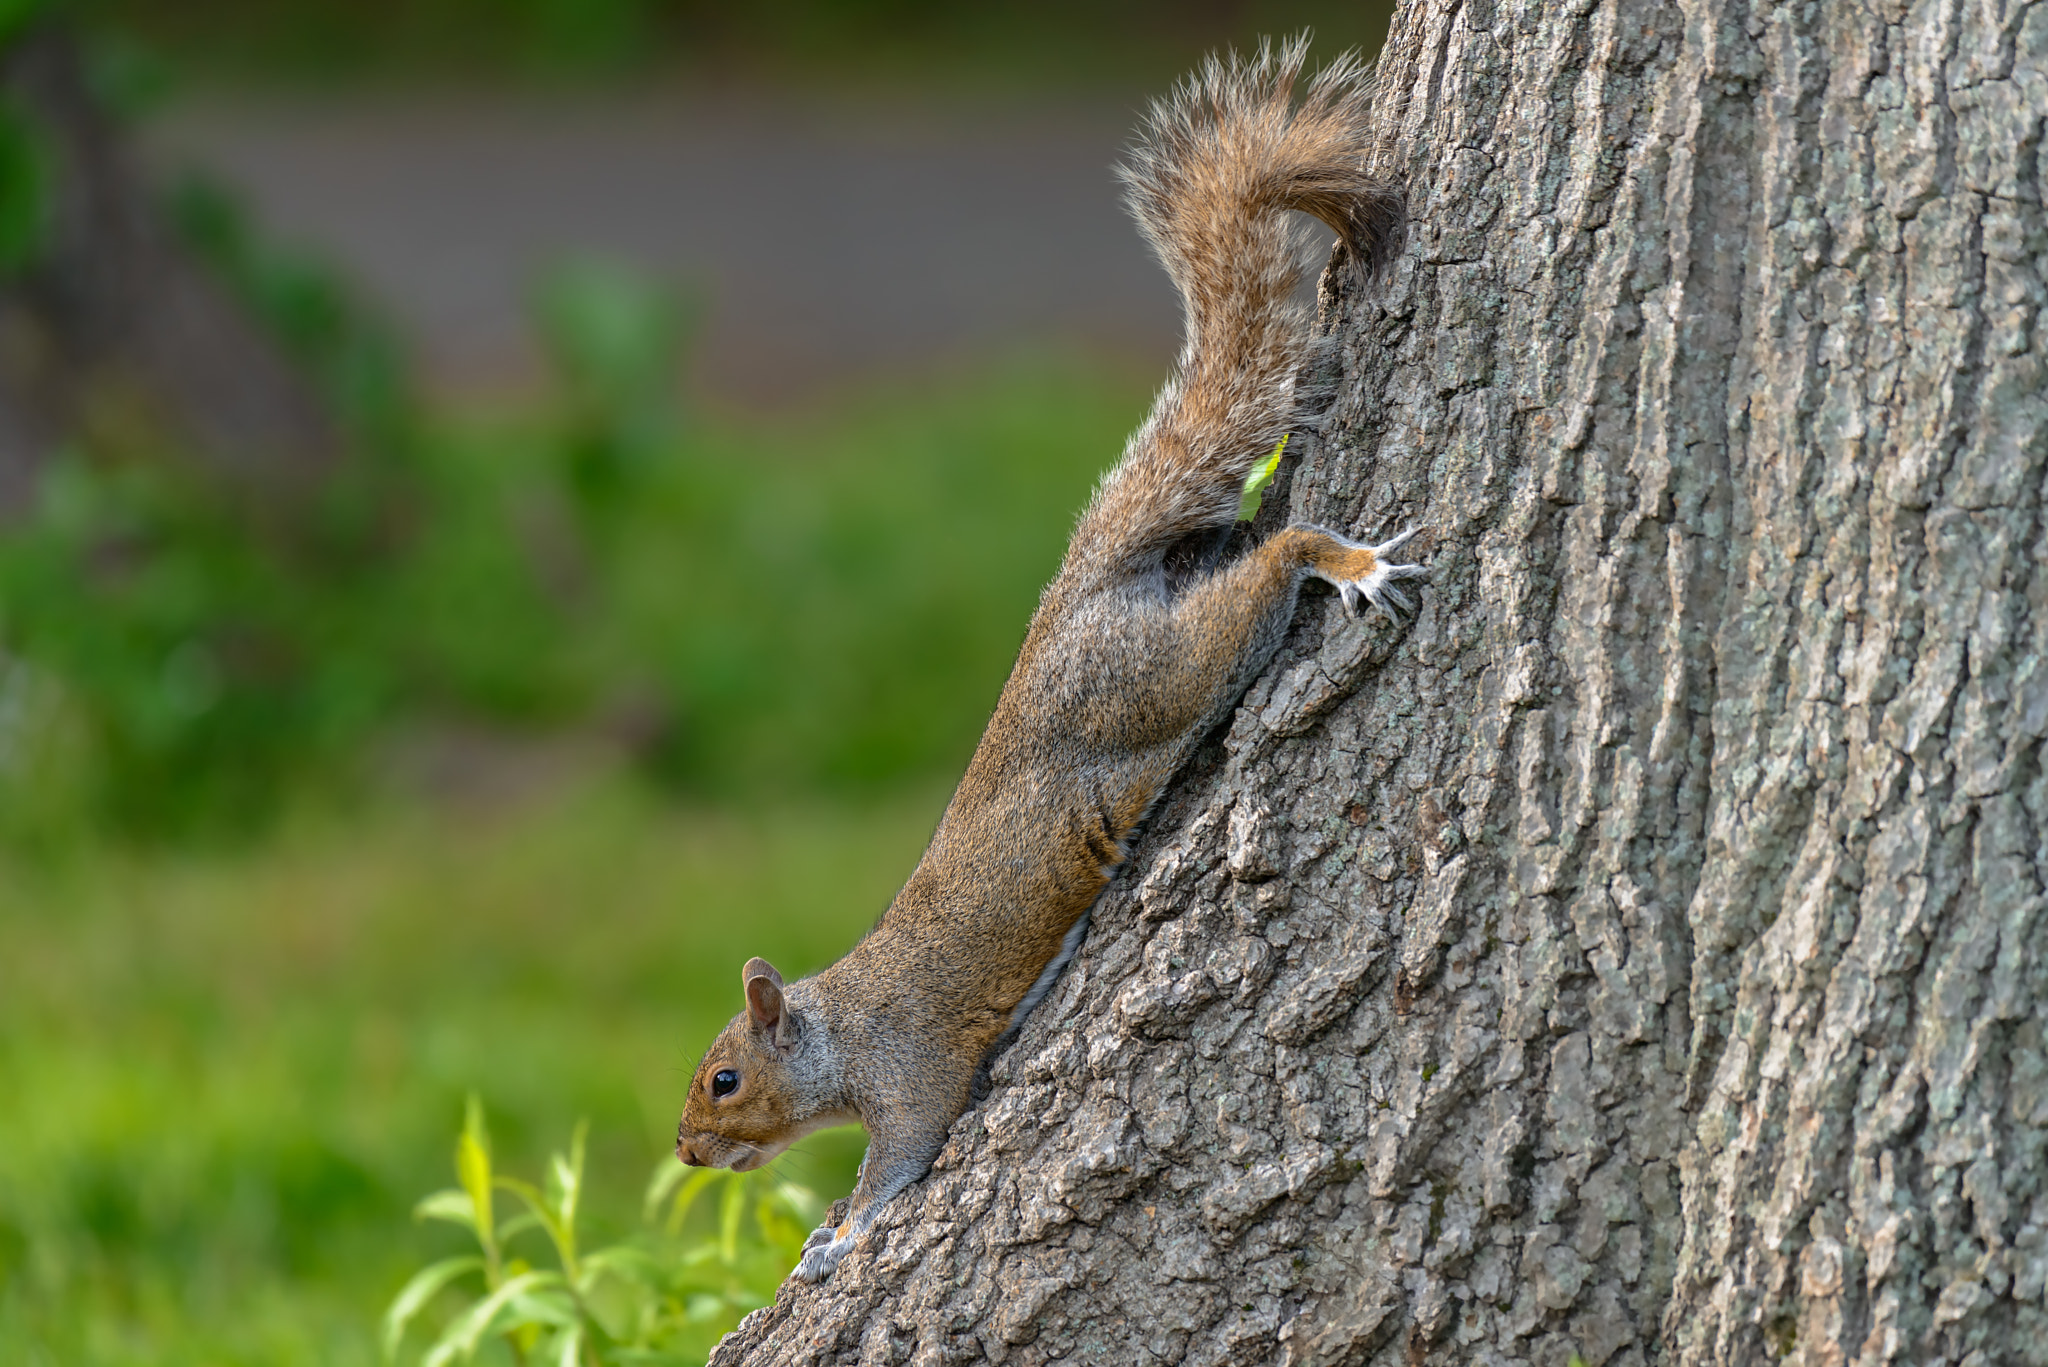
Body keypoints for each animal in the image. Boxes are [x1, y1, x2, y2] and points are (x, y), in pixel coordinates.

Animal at [674, 37, 1417, 1284]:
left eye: (724, 1075)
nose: (683, 1149)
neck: (842, 1027)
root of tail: (1073, 600)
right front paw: (824, 1233)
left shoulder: (912, 1074)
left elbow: (897, 1160)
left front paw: (840, 1236)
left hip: (1153, 678)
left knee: (1271, 566)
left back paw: (1342, 557)